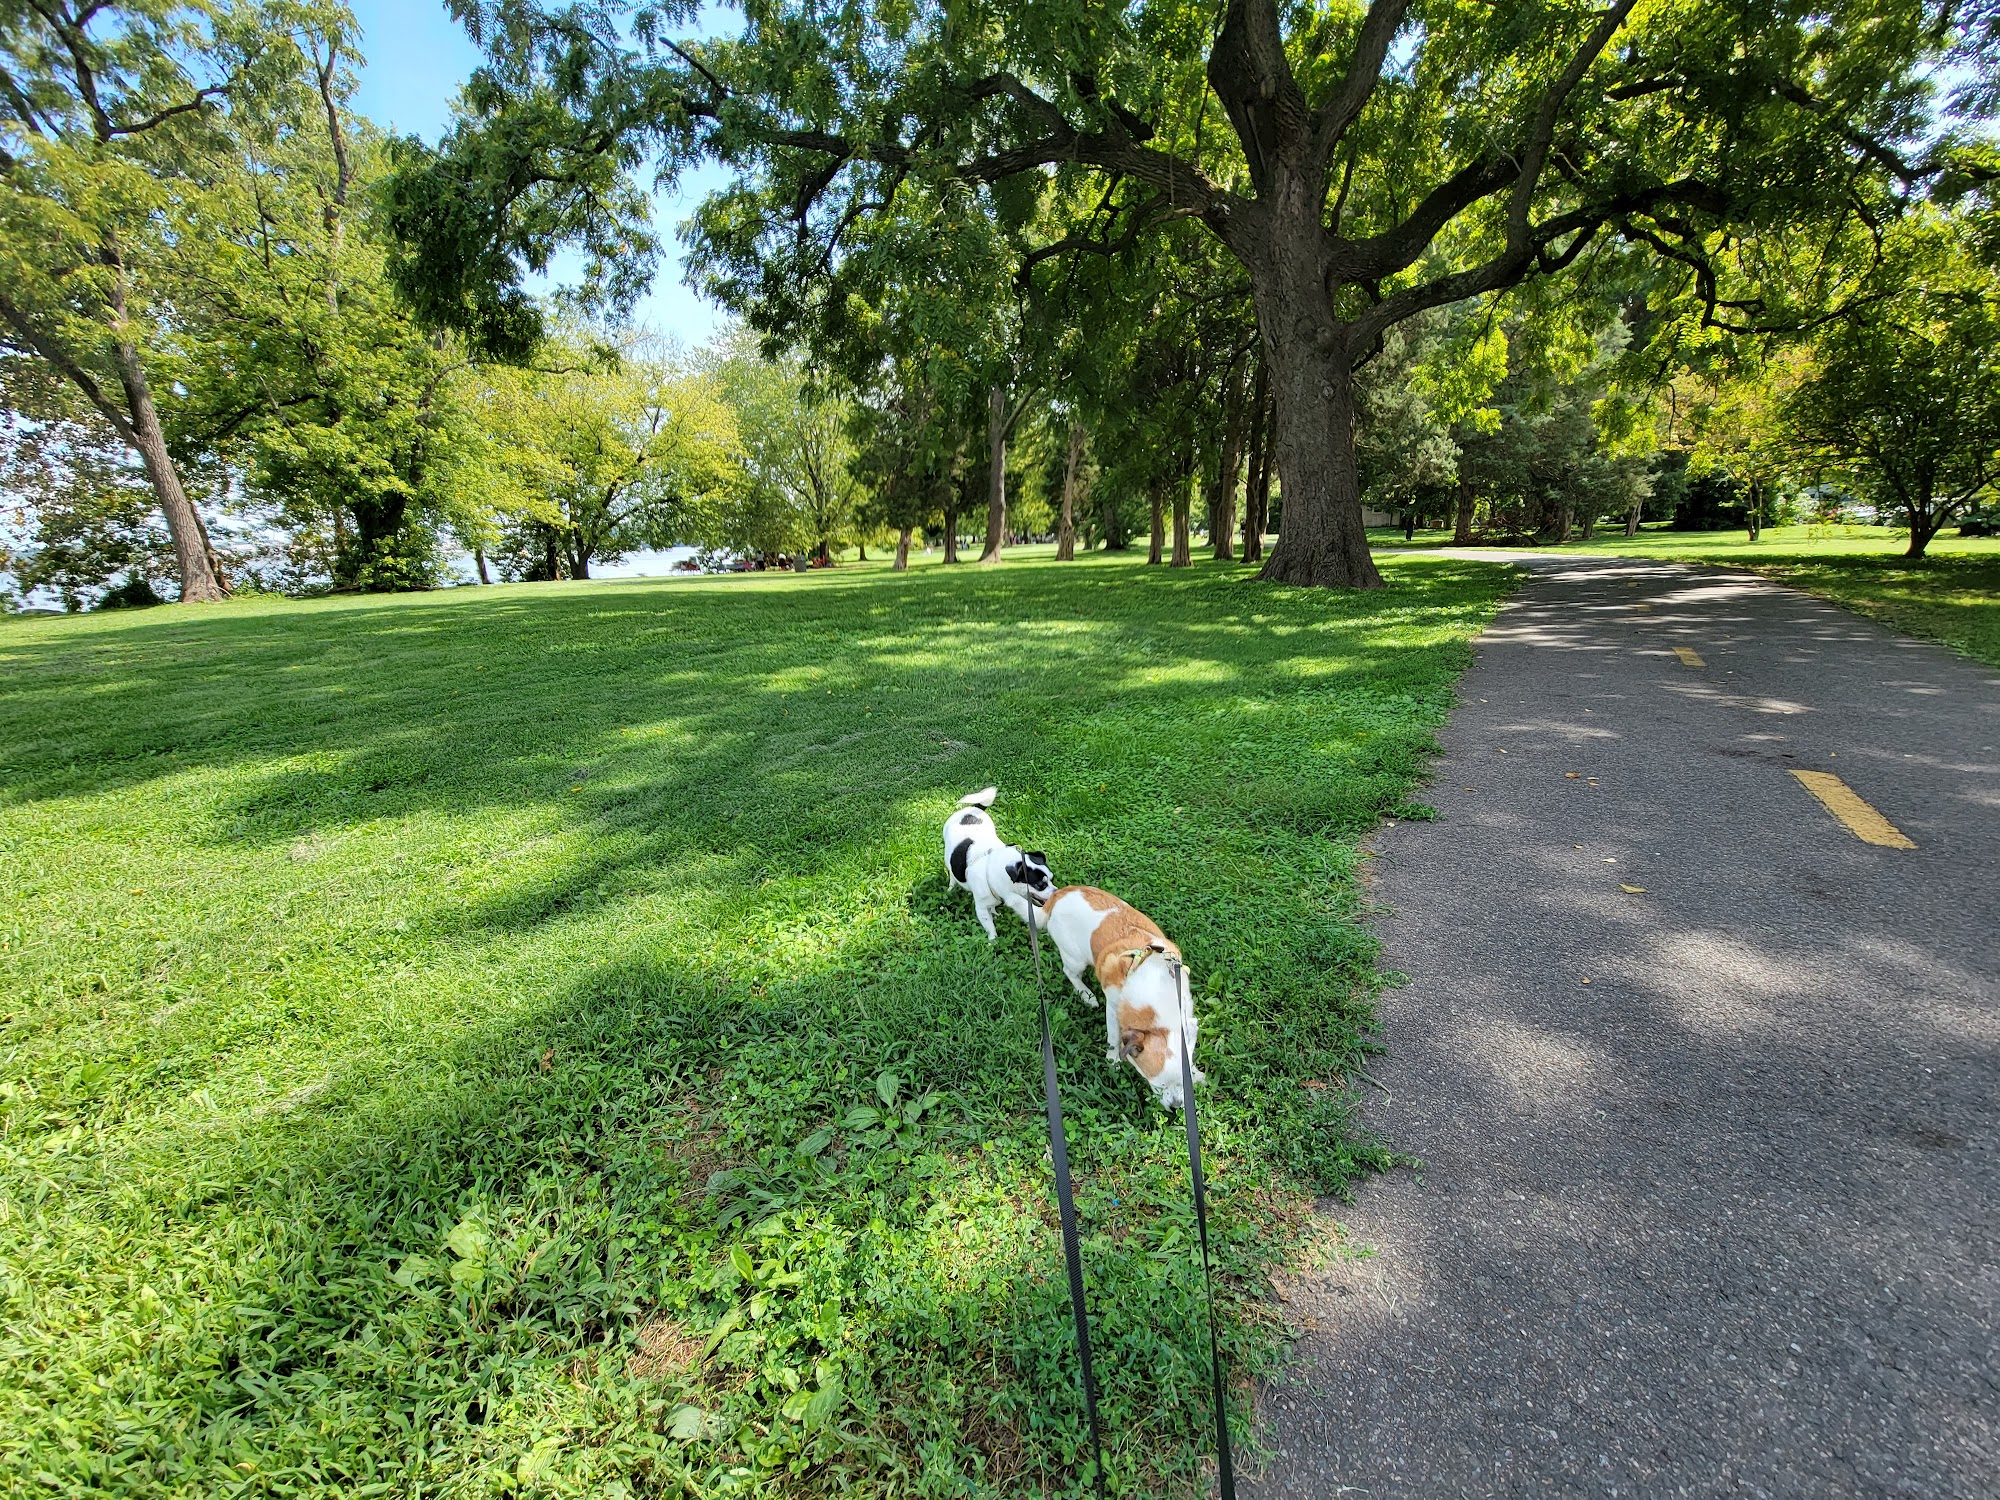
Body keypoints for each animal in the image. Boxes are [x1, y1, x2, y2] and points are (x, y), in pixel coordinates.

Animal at [1032, 888, 1200, 1112]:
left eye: (1185, 1082)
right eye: (1157, 1086)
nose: (1176, 1106)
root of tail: (1060, 893)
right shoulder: (1113, 1008)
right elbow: (1113, 1038)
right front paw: (1113, 1060)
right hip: (1075, 958)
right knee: (1069, 971)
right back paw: (1086, 994)